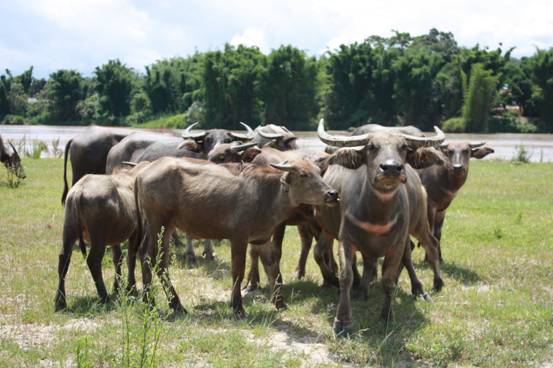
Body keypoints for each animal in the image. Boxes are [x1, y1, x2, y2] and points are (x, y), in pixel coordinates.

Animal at [54, 162, 149, 310]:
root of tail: (79, 190)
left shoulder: (115, 238)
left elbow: (118, 259)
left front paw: (117, 287)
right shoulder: (135, 232)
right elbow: (131, 258)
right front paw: (131, 287)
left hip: (69, 229)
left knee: (63, 259)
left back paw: (60, 301)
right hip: (98, 238)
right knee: (93, 261)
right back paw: (103, 296)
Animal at [135, 157, 338, 314]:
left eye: (319, 172)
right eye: (304, 174)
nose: (333, 193)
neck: (267, 195)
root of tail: (143, 172)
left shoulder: (262, 238)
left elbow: (272, 267)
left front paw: (280, 302)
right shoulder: (239, 237)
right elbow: (238, 271)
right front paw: (237, 306)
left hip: (164, 228)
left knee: (151, 258)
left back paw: (153, 301)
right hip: (158, 224)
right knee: (153, 259)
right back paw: (169, 304)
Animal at [314, 120, 444, 334]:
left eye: (404, 147)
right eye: (372, 147)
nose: (391, 168)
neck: (377, 216)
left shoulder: (397, 242)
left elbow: (389, 279)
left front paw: (387, 316)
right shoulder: (345, 239)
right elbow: (346, 276)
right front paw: (342, 321)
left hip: (419, 223)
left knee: (429, 245)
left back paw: (431, 286)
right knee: (370, 261)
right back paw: (362, 290)